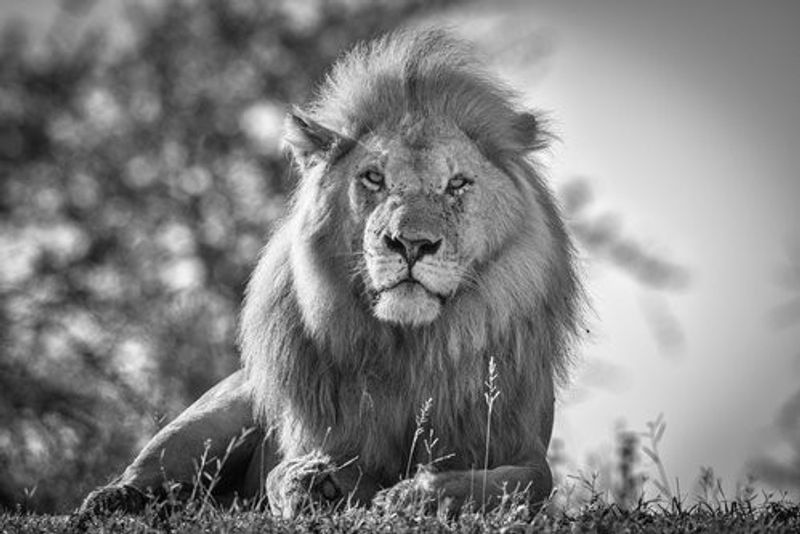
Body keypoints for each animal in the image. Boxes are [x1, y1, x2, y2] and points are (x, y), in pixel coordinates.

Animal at [77, 29, 581, 520]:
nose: (411, 244)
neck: (412, 349)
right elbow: (283, 472)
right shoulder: (314, 436)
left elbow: (516, 484)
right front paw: (314, 484)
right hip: (216, 414)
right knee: (151, 473)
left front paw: (414, 496)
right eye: (374, 178)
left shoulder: (524, 449)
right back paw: (112, 501)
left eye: (457, 184)